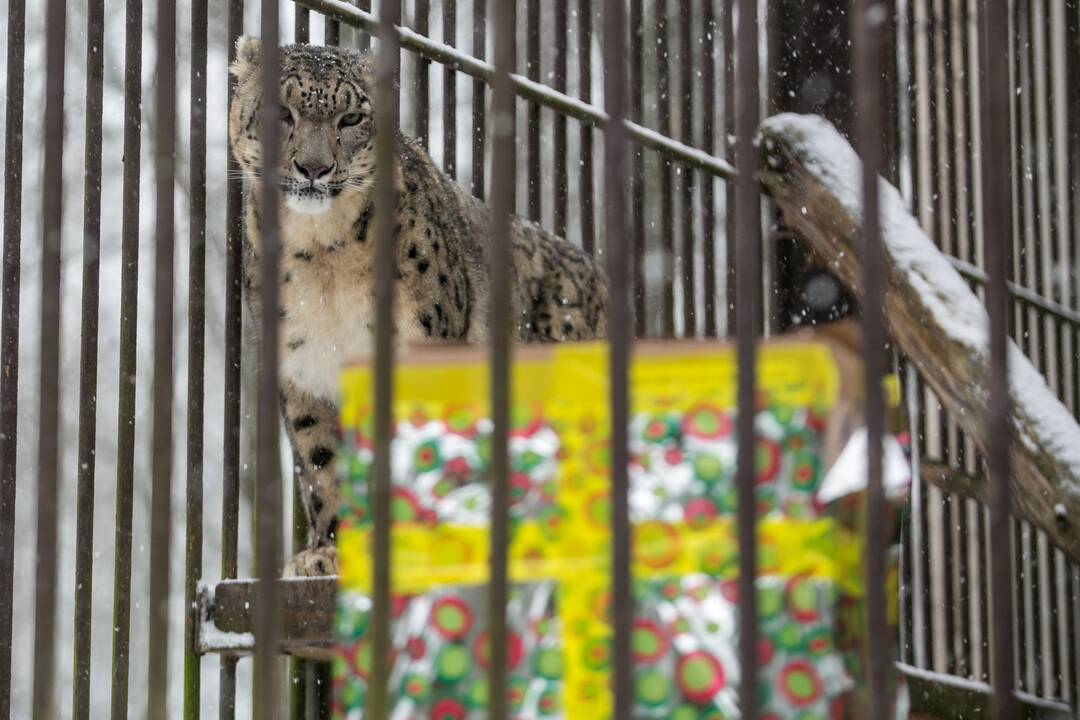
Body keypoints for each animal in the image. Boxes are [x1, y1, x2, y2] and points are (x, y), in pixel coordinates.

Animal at [226, 36, 609, 578]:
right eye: (281, 111)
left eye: (351, 117)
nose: (314, 169)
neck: (323, 258)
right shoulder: (303, 371)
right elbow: (322, 462)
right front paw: (327, 552)